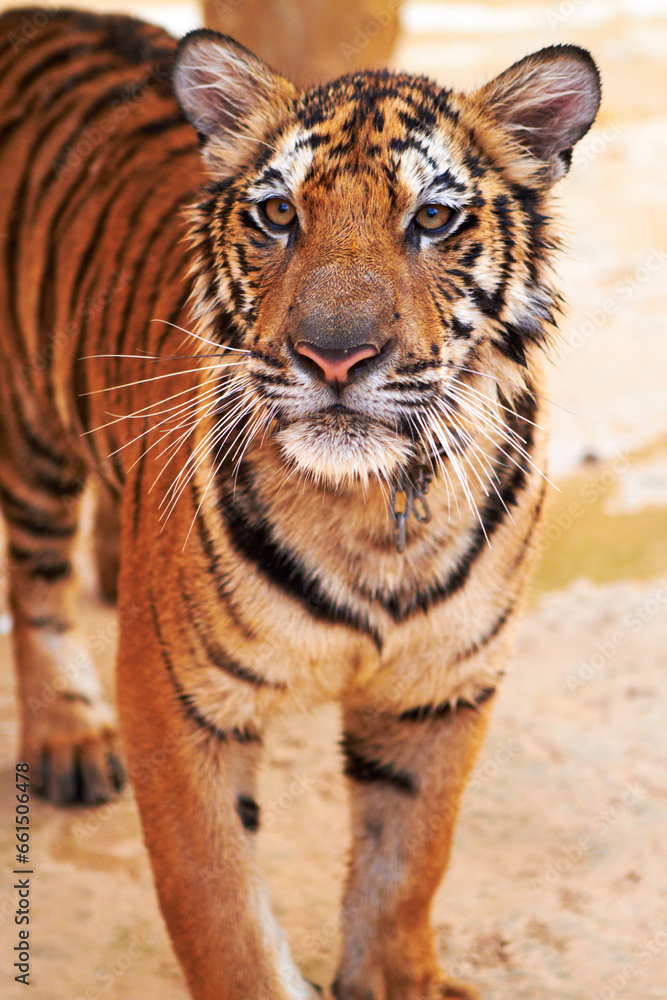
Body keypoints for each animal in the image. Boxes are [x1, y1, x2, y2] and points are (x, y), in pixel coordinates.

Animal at [0, 8, 601, 1000]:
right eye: (279, 214)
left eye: (431, 218)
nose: (333, 355)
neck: (375, 510)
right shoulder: (177, 704)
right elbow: (221, 911)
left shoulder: (442, 689)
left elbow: (408, 862)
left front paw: (398, 980)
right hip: (30, 433)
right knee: (34, 584)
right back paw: (68, 736)